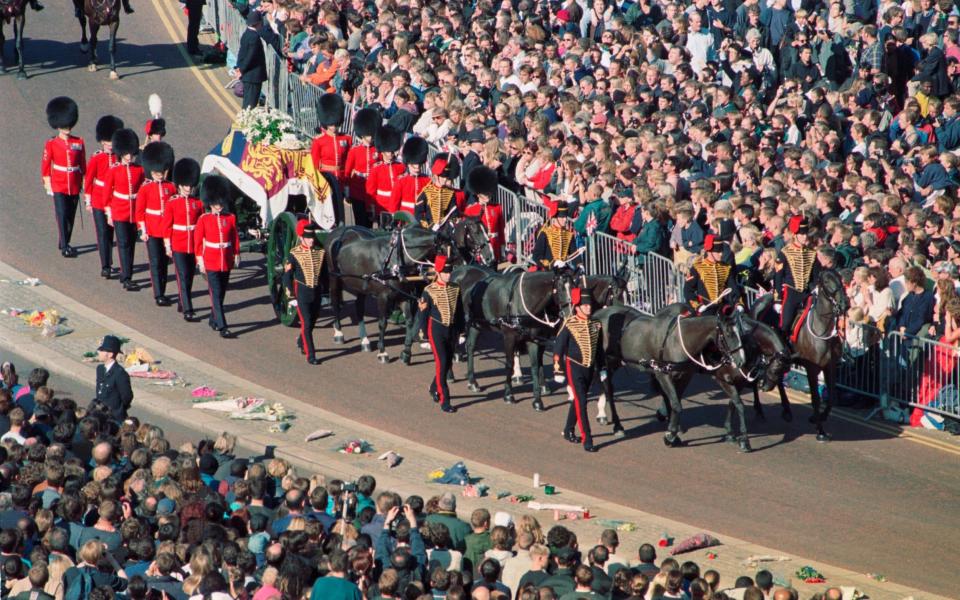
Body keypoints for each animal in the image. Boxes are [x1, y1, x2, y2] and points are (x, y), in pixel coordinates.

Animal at [326, 219, 492, 360]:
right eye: (476, 232)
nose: (490, 258)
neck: (396, 259)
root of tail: (340, 230)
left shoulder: (404, 296)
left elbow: (411, 321)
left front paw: (408, 350)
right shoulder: (383, 297)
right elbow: (383, 323)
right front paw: (383, 352)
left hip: (361, 284)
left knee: (359, 308)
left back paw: (365, 340)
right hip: (334, 278)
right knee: (335, 302)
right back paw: (339, 333)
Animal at [452, 266, 576, 410]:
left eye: (575, 286)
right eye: (560, 287)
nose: (570, 314)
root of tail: (458, 270)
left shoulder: (534, 338)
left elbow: (536, 365)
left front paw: (538, 399)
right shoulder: (509, 336)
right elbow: (509, 364)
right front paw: (508, 394)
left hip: (477, 325)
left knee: (470, 347)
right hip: (466, 324)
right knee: (466, 347)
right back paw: (465, 379)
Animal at [596, 304, 748, 446]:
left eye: (742, 332)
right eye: (728, 333)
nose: (741, 361)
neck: (678, 341)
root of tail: (599, 313)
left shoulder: (685, 375)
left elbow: (676, 401)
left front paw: (672, 428)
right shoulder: (662, 374)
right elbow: (676, 404)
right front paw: (671, 435)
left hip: (615, 363)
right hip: (607, 362)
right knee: (608, 389)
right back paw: (617, 425)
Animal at [752, 270, 848, 442]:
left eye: (840, 278)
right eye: (826, 281)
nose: (845, 304)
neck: (821, 328)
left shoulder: (829, 367)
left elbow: (831, 397)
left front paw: (818, 418)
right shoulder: (812, 369)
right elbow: (815, 399)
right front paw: (820, 431)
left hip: (780, 359)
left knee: (778, 378)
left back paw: (786, 410)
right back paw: (759, 410)